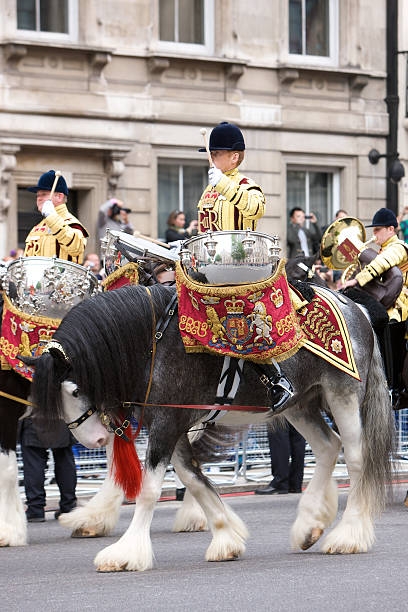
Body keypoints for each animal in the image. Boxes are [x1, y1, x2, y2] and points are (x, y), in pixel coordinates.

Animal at [19, 226, 396, 572]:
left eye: (75, 390)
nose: (94, 440)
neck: (151, 340)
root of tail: (355, 307)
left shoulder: (167, 423)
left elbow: (151, 488)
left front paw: (127, 552)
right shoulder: (169, 422)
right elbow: (193, 479)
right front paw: (226, 537)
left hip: (343, 394)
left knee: (357, 457)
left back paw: (348, 535)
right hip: (302, 404)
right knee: (328, 446)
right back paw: (309, 526)